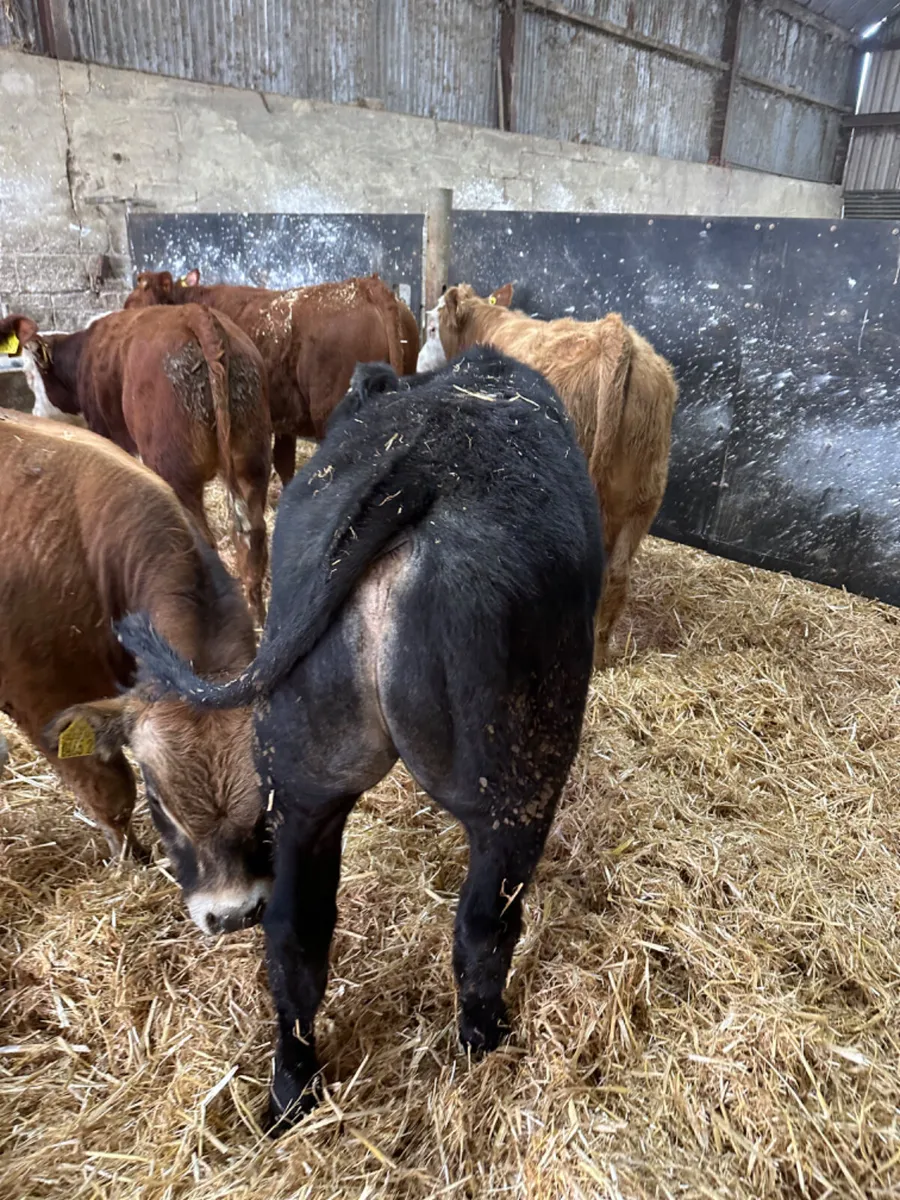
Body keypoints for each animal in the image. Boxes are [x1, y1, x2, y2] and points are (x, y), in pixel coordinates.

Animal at [3, 308, 272, 623]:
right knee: (253, 537)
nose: (33, 412)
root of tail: (196, 315)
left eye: (29, 376)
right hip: (252, 464)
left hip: (176, 474)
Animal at [119, 346, 603, 1131]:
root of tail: (419, 467)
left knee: (294, 932)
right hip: (518, 780)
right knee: (483, 924)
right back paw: (486, 1041)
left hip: (302, 773)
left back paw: (293, 1093)